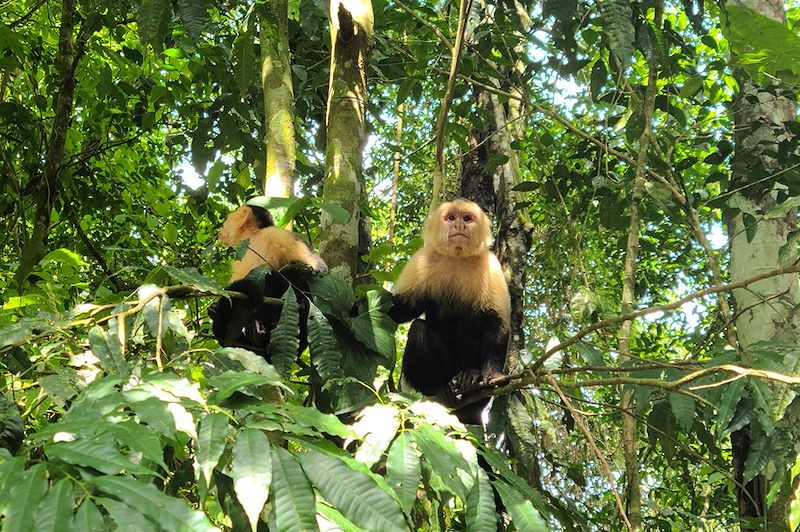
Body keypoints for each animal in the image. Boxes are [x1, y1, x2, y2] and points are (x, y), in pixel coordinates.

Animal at [211, 204, 330, 358]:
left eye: (227, 219)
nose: (221, 229)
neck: (253, 238)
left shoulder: (275, 234)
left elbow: (316, 268)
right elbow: (234, 292)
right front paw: (218, 308)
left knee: (292, 274)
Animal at [390, 198, 512, 424]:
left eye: (467, 218)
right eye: (451, 218)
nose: (459, 226)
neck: (457, 257)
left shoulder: (490, 265)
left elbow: (497, 321)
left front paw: (493, 374)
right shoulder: (421, 260)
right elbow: (401, 310)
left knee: (472, 319)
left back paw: (469, 376)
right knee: (418, 329)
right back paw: (439, 388)